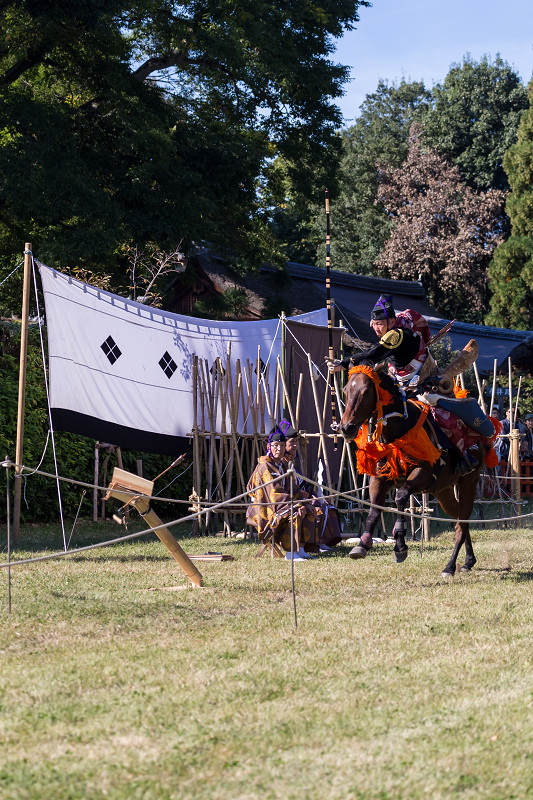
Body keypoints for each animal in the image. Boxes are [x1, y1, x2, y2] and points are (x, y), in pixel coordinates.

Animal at [338, 366, 488, 580]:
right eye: (345, 391)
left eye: (366, 391)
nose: (346, 427)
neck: (399, 429)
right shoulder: (380, 478)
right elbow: (374, 509)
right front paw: (362, 544)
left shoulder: (422, 474)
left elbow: (400, 497)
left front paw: (400, 545)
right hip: (443, 490)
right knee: (461, 518)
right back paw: (468, 561)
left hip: (468, 482)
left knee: (461, 523)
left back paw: (450, 566)